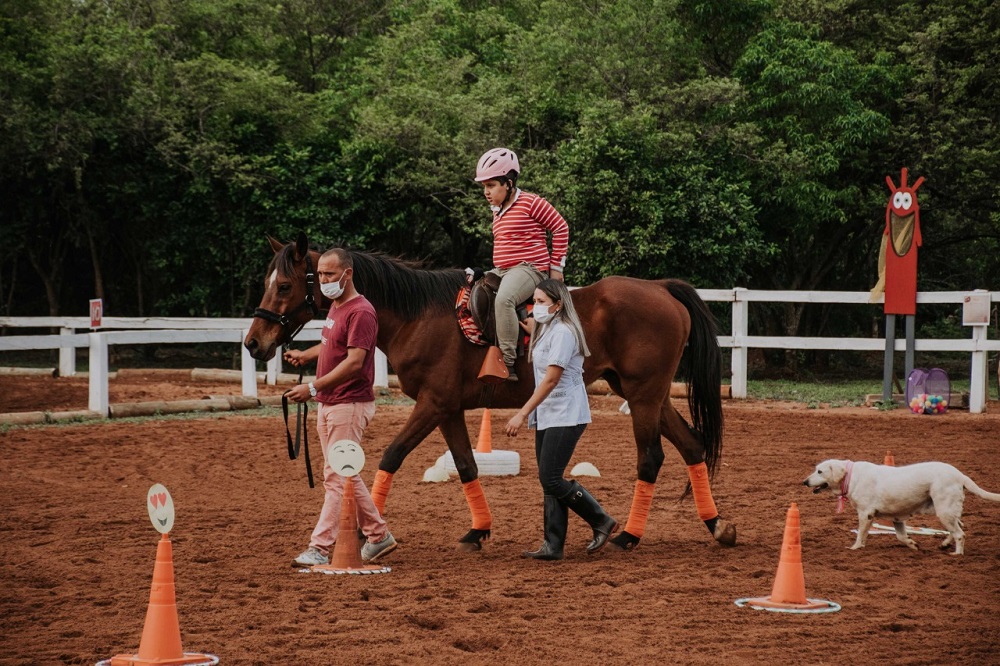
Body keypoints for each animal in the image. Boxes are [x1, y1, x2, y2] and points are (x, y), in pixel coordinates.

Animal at [245, 233, 737, 552]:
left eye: (284, 285)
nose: (253, 343)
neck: (419, 316)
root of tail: (661, 289)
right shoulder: (448, 409)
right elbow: (465, 466)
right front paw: (477, 532)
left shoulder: (432, 405)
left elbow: (390, 457)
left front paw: (370, 536)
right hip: (646, 396)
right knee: (692, 445)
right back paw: (716, 527)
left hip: (643, 396)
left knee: (651, 458)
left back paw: (629, 535)